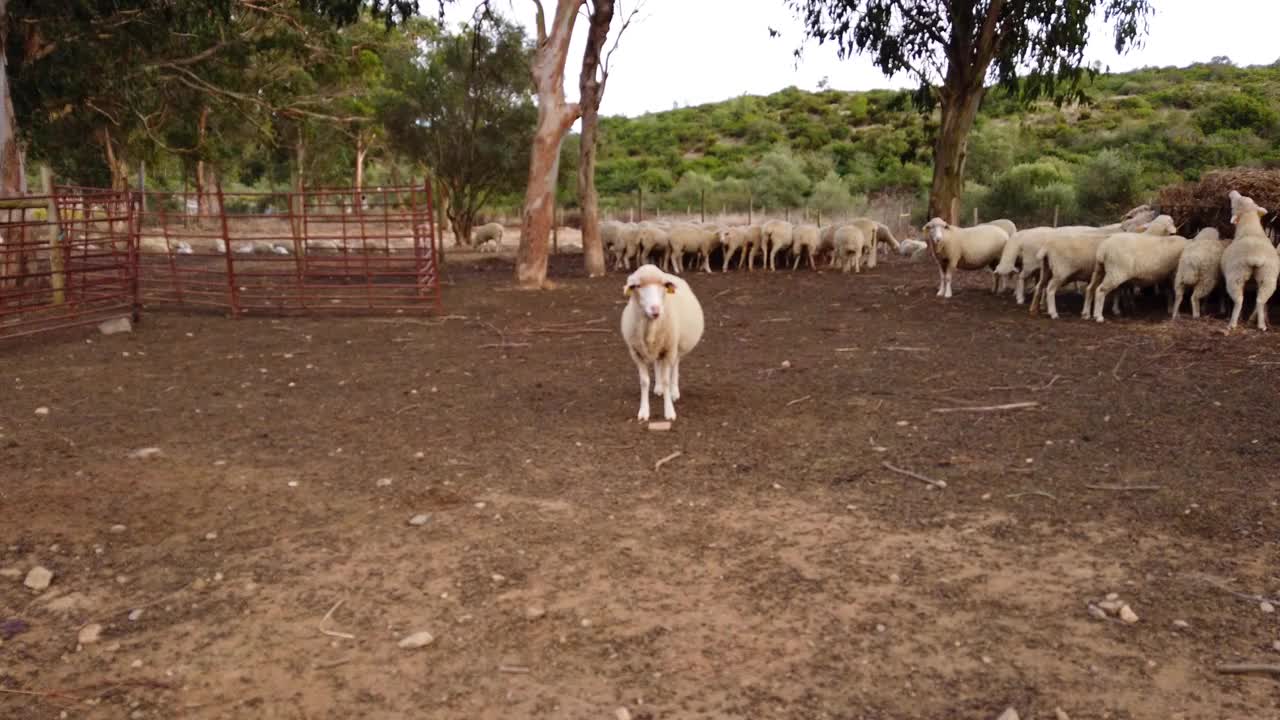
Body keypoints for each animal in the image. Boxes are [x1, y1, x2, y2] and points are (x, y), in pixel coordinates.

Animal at [614, 263, 706, 420]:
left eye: (663, 286)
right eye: (638, 286)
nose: (655, 309)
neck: (652, 327)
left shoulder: (669, 349)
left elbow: (666, 380)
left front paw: (669, 412)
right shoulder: (637, 354)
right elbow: (644, 382)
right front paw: (644, 412)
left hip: (676, 346)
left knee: (675, 366)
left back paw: (674, 392)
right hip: (659, 347)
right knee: (657, 364)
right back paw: (658, 389)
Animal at [1218, 185, 1280, 330]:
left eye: (1234, 203)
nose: (1232, 192)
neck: (1250, 228)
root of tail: (1254, 256)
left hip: (1236, 275)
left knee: (1239, 300)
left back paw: (1232, 323)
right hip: (1268, 276)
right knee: (1261, 300)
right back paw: (1261, 325)